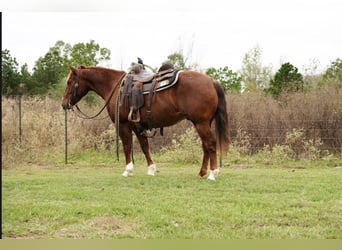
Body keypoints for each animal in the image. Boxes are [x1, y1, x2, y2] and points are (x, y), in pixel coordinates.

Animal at [61, 65, 230, 181]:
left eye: (69, 82)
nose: (64, 104)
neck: (115, 86)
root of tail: (211, 81)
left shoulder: (123, 125)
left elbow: (127, 146)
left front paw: (128, 170)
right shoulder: (138, 126)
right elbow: (144, 147)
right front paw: (151, 169)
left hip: (201, 123)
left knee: (210, 144)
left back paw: (213, 173)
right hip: (203, 123)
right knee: (205, 146)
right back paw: (202, 172)